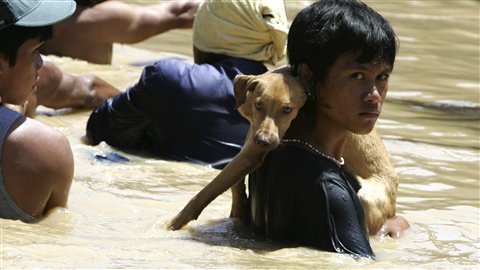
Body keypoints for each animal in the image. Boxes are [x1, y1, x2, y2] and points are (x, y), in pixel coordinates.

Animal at [167, 66, 400, 234]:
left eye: (288, 109)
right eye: (259, 105)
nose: (264, 141)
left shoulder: (253, 152)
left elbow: (209, 189)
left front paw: (174, 224)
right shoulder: (252, 137)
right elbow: (232, 183)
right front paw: (238, 208)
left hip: (368, 198)